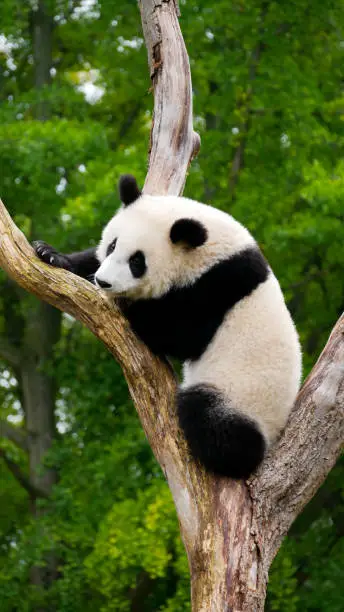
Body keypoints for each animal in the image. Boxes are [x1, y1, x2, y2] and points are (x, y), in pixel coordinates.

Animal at [34, 175, 300, 480]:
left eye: (137, 261)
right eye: (112, 246)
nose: (104, 282)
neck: (207, 249)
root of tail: (275, 432)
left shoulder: (219, 285)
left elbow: (181, 334)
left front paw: (133, 305)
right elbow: (89, 260)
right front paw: (50, 254)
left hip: (243, 395)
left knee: (211, 417)